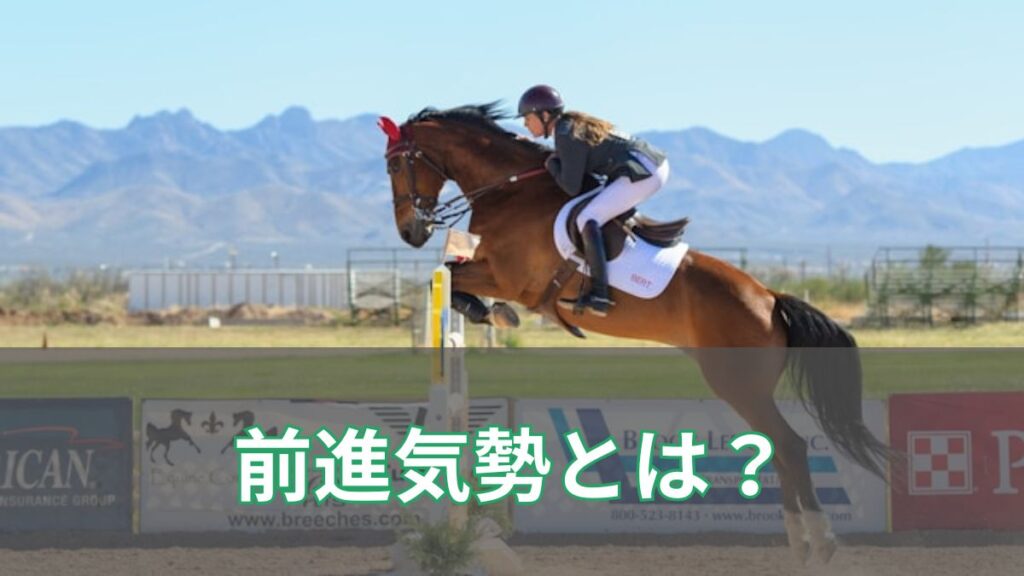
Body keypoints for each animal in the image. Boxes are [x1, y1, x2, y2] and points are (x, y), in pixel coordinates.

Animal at [378, 103, 892, 565]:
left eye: (396, 164)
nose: (410, 232)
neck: (509, 194)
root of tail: (769, 299)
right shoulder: (491, 269)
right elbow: (450, 273)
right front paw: (490, 313)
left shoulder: (508, 276)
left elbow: (450, 275)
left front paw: (490, 311)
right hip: (746, 389)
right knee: (778, 449)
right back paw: (799, 544)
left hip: (738, 385)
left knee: (789, 446)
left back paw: (821, 542)